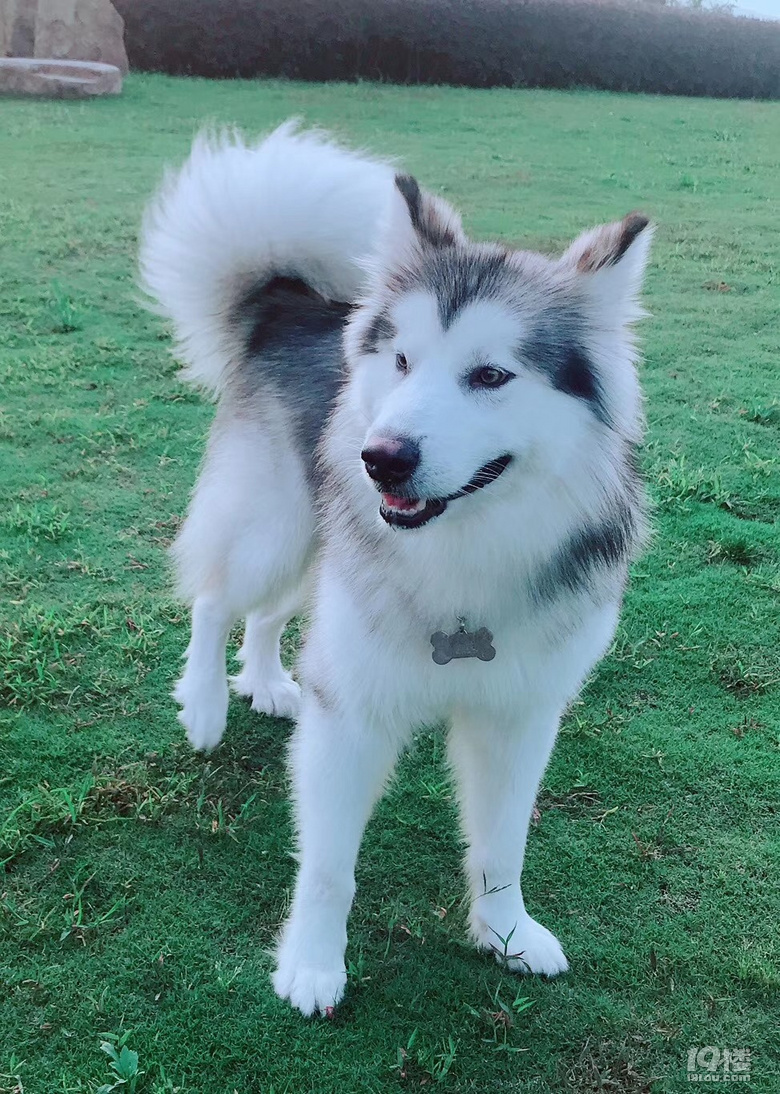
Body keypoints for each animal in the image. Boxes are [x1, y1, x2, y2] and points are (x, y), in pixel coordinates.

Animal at [140, 121, 652, 1015]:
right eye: (405, 361)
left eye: (491, 375)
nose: (380, 458)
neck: (467, 547)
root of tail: (291, 304)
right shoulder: (352, 711)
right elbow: (328, 866)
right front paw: (312, 964)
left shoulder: (520, 715)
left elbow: (502, 845)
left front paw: (507, 934)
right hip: (276, 525)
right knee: (216, 597)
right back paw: (205, 705)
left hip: (322, 545)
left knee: (269, 615)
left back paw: (268, 682)